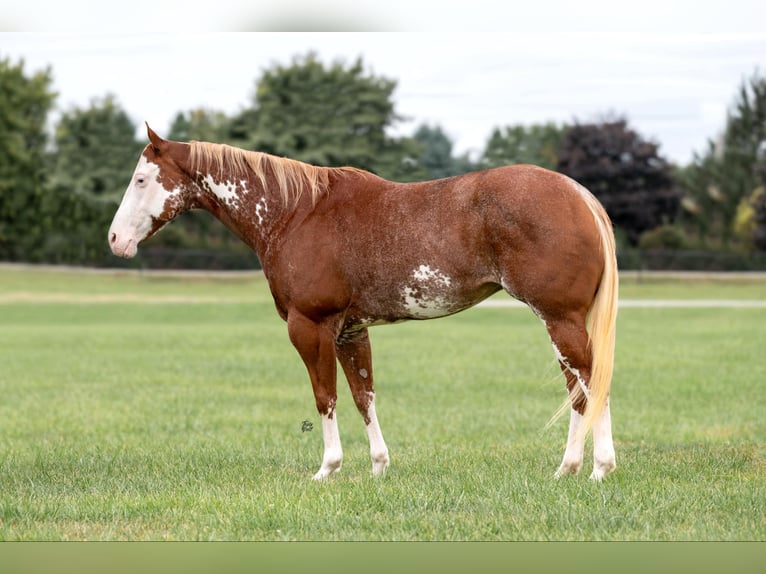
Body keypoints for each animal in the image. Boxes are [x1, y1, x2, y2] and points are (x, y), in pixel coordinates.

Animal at [108, 125, 618, 481]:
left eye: (141, 179)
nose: (115, 239)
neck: (296, 212)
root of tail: (578, 194)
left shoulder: (309, 325)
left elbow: (325, 397)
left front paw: (328, 469)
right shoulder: (351, 329)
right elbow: (363, 395)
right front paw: (378, 466)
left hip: (559, 320)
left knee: (592, 382)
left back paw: (600, 468)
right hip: (559, 323)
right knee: (577, 391)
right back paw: (568, 469)